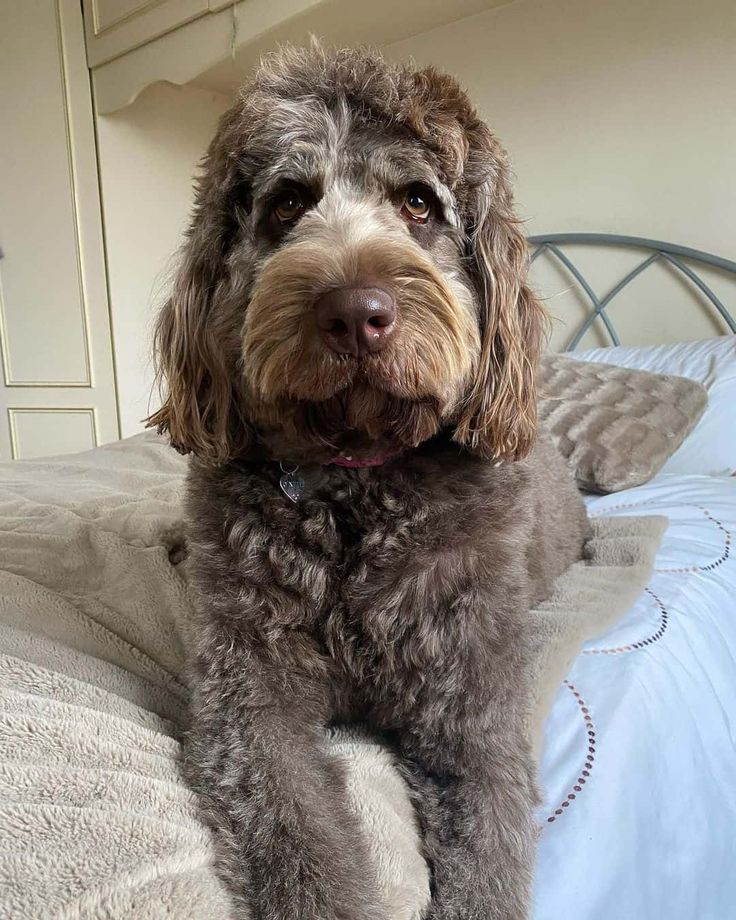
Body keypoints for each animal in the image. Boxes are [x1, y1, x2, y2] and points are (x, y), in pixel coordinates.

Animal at [147, 41, 588, 920]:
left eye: (419, 203)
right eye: (287, 204)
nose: (354, 311)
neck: (355, 483)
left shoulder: (470, 712)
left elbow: (488, 857)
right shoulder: (249, 699)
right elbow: (299, 841)